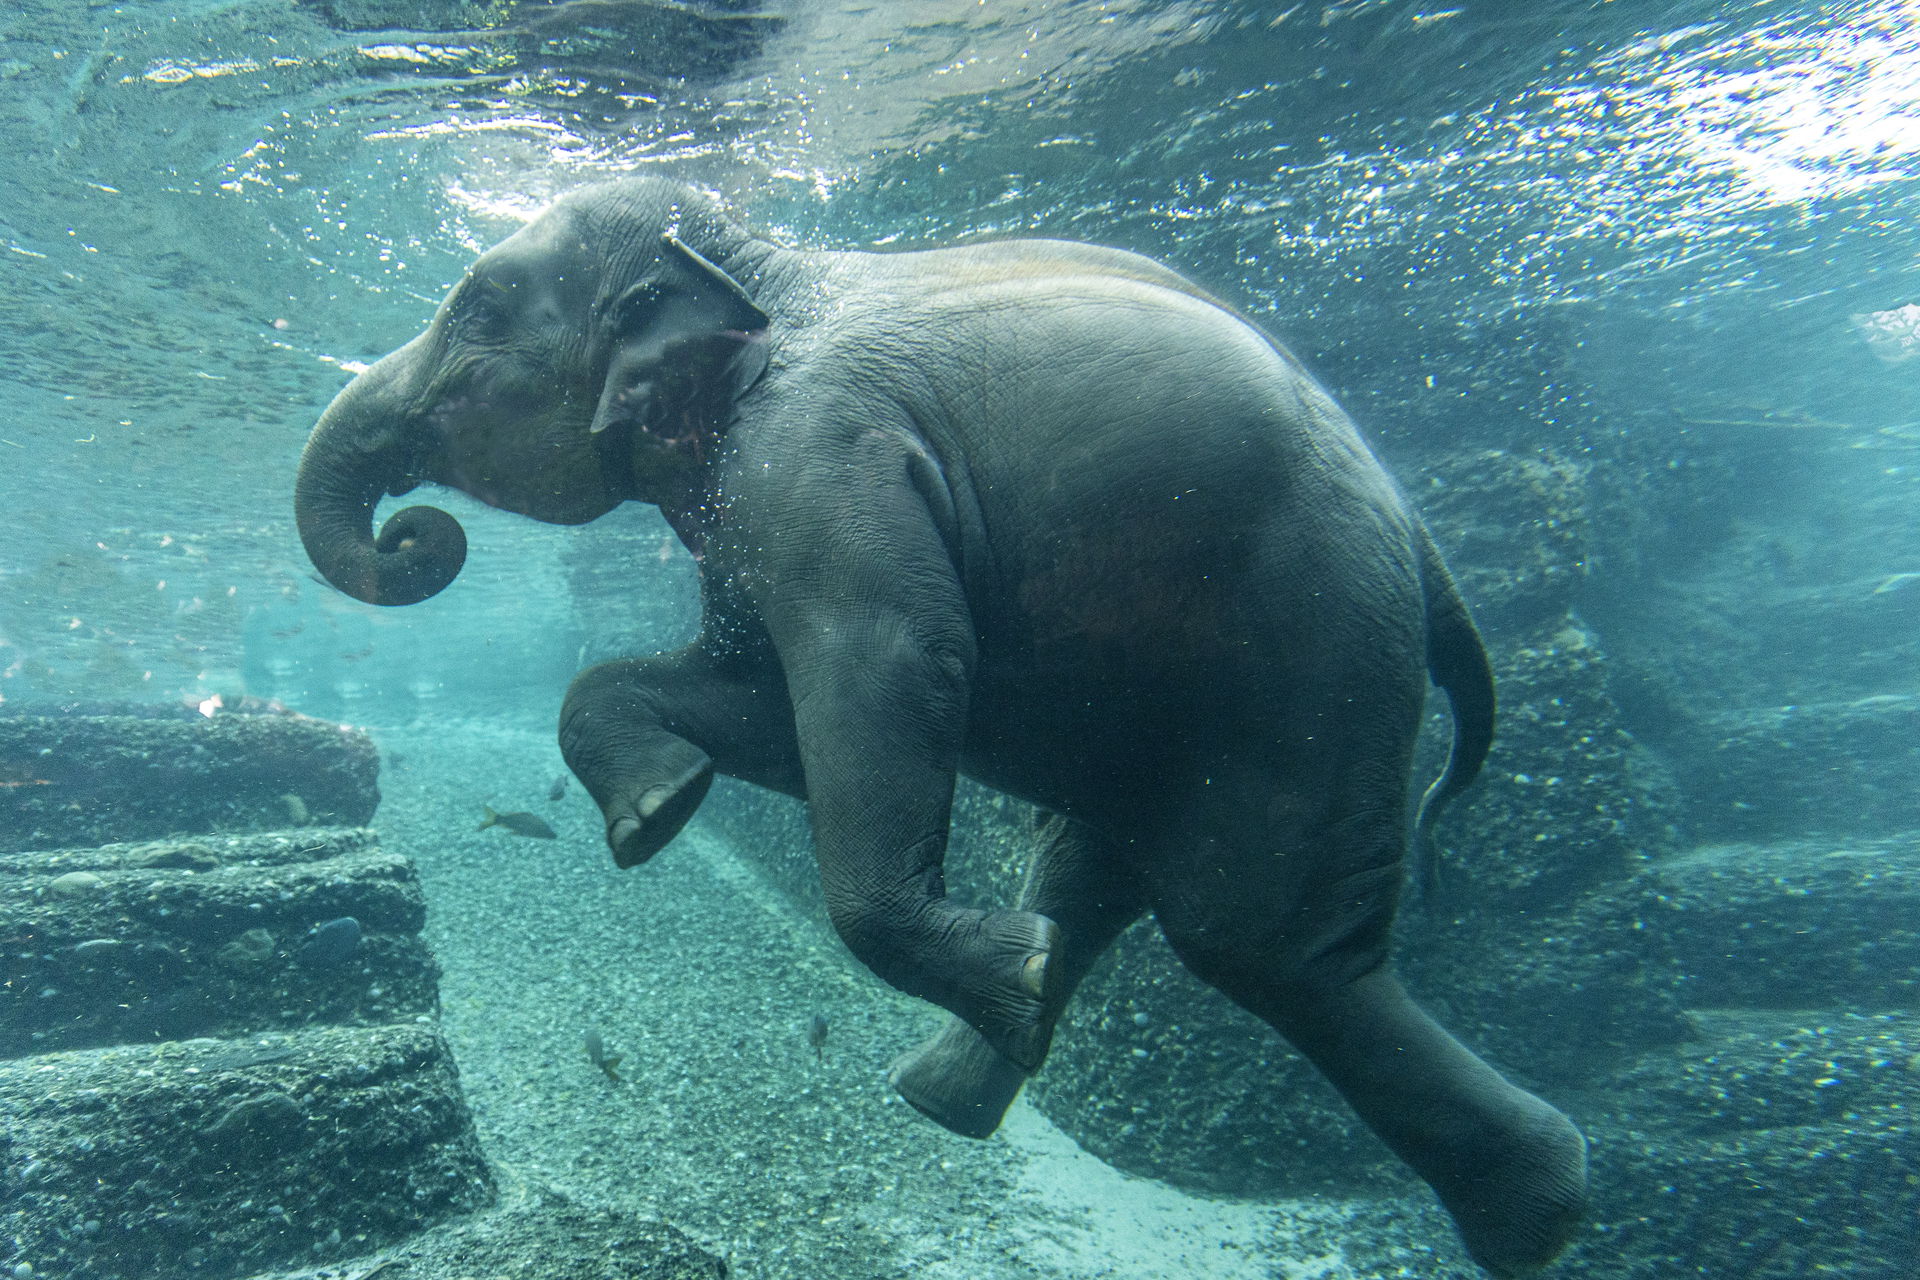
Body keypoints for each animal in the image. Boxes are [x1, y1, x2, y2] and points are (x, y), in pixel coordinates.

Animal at [293, 177, 1588, 1276]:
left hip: (1317, 638)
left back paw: (1537, 1209)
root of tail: (1425, 543)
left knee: (1257, 933)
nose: (415, 531)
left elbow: (882, 663)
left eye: (477, 309)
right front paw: (661, 811)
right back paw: (967, 1059)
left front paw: (671, 818)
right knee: (1113, 865)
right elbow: (765, 699)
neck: (755, 259)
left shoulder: (819, 456)